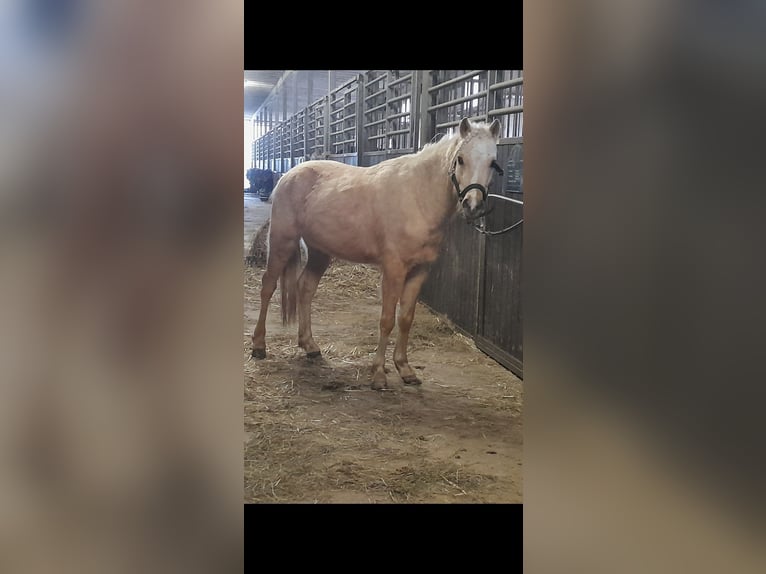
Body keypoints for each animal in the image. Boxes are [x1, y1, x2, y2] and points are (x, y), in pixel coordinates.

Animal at [251, 117, 503, 390]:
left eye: (492, 162)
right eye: (460, 159)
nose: (473, 206)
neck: (417, 197)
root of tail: (289, 175)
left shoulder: (420, 271)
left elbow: (406, 318)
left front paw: (405, 369)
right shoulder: (393, 269)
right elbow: (387, 319)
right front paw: (379, 374)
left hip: (320, 252)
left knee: (305, 288)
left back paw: (310, 346)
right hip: (282, 241)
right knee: (268, 286)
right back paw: (258, 346)